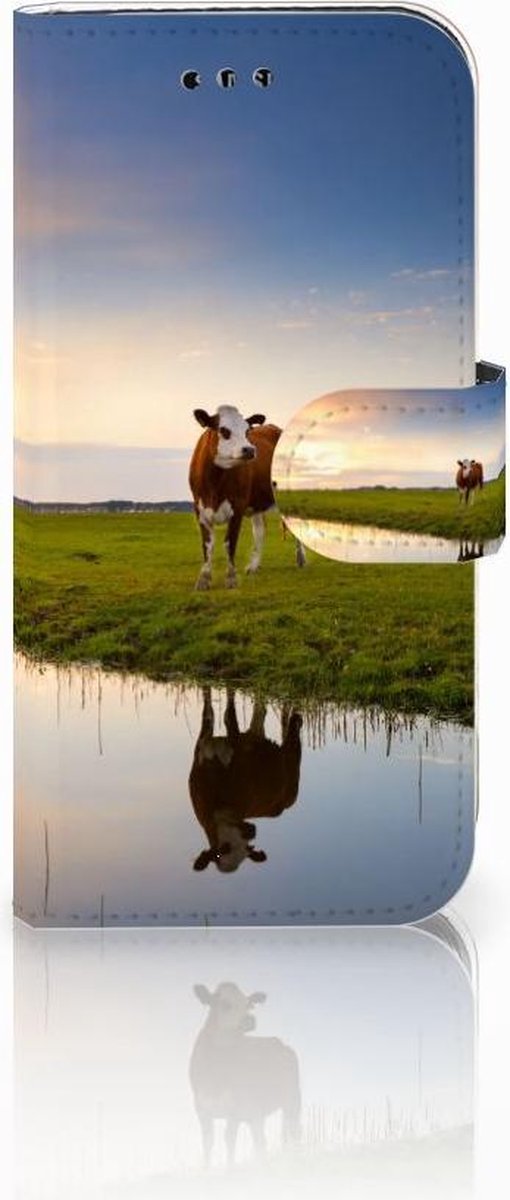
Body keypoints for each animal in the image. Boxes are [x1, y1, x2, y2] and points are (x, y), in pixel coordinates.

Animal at [189, 405, 305, 590]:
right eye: (224, 430)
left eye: (247, 431)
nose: (250, 450)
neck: (214, 484)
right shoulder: (199, 509)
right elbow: (207, 545)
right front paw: (203, 579)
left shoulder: (238, 506)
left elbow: (230, 543)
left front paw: (231, 579)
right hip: (256, 501)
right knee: (260, 530)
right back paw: (253, 566)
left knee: (294, 524)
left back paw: (301, 558)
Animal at [189, 688, 302, 874]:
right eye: (222, 849)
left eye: (246, 848)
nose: (251, 831)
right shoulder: (202, 745)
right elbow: (208, 713)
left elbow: (228, 716)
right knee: (260, 713)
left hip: (292, 773)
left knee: (291, 735)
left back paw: (296, 719)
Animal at [189, 982, 301, 1165]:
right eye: (225, 1003)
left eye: (249, 1004)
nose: (250, 1020)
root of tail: (281, 1043)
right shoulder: (201, 1108)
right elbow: (207, 1143)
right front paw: (206, 1169)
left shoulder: (234, 1108)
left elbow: (229, 1139)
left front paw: (230, 1169)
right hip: (256, 1112)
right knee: (261, 1141)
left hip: (292, 1100)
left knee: (294, 1132)